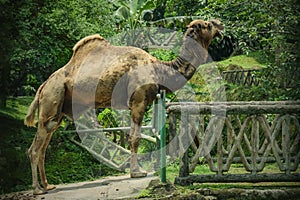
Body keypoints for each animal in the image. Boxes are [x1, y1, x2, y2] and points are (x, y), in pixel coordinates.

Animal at [24, 18, 224, 194]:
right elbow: (135, 138)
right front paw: (137, 172)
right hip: (52, 97)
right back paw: (37, 189)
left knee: (43, 147)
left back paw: (47, 185)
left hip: (58, 110)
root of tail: (42, 87)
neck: (159, 68)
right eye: (207, 24)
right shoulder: (138, 101)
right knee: (35, 148)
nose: (220, 24)